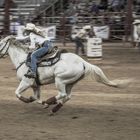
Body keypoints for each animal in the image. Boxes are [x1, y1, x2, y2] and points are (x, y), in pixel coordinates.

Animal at [0, 35, 131, 114]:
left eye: (0, 43)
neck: (22, 60)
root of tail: (82, 62)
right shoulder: (35, 85)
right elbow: (36, 98)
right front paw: (41, 103)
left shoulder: (26, 82)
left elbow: (17, 93)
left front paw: (29, 100)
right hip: (71, 82)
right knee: (67, 96)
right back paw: (54, 107)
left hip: (60, 80)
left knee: (62, 94)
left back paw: (50, 101)